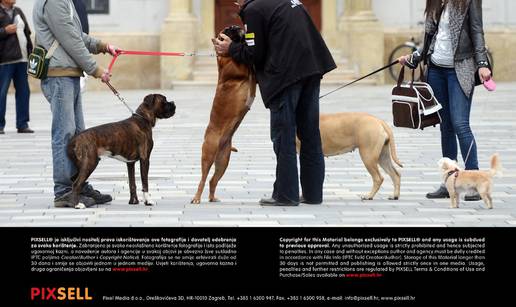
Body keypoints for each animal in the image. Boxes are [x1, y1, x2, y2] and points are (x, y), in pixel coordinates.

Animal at [191, 25, 256, 205]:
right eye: (229, 30)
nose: (237, 26)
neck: (225, 56)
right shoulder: (240, 67)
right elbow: (249, 65)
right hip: (208, 155)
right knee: (203, 179)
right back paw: (197, 198)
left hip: (223, 161)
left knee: (213, 180)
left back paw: (212, 197)